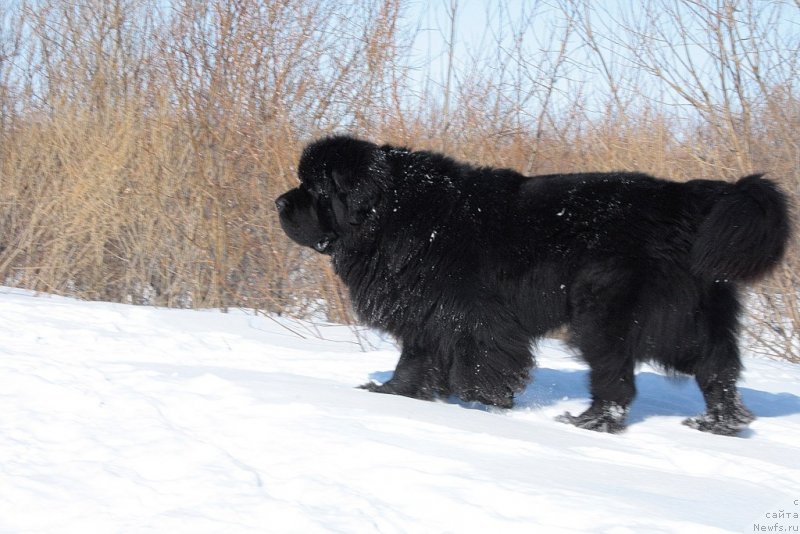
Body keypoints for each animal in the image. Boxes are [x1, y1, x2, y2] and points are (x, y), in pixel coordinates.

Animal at [278, 135, 792, 436]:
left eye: (315, 189)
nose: (280, 202)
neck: (395, 215)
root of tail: (684, 197)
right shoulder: (424, 312)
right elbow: (415, 358)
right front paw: (392, 393)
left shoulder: (470, 316)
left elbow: (478, 362)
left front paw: (485, 402)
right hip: (687, 318)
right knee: (716, 367)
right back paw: (718, 422)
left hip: (603, 313)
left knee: (614, 378)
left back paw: (589, 421)